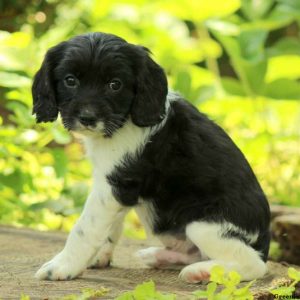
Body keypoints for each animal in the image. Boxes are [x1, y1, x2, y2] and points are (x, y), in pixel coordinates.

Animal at [32, 31, 270, 282]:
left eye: (115, 85)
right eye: (70, 80)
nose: (88, 118)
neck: (124, 121)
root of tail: (265, 241)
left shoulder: (116, 186)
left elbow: (84, 228)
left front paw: (62, 266)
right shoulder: (111, 187)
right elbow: (110, 227)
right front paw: (98, 258)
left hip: (201, 224)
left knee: (254, 265)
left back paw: (201, 272)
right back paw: (160, 257)